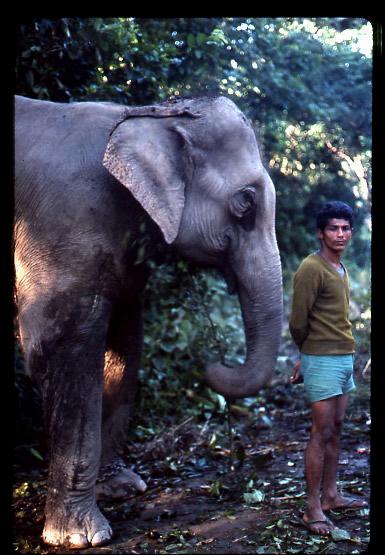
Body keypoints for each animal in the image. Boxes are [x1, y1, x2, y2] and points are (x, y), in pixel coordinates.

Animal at [14, 93, 282, 548]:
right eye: (245, 203)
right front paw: (80, 538)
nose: (213, 364)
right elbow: (59, 345)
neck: (148, 116)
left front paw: (122, 488)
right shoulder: (61, 226)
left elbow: (125, 340)